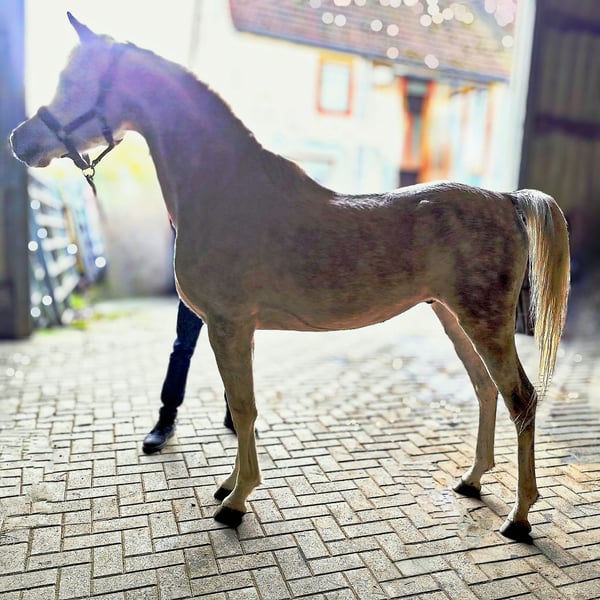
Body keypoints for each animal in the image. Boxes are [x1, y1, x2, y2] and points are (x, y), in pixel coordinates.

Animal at [10, 14, 570, 543]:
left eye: (74, 78)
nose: (20, 140)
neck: (225, 190)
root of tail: (505, 199)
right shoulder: (236, 329)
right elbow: (243, 409)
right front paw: (229, 486)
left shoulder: (228, 325)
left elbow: (243, 408)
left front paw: (236, 503)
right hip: (453, 318)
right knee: (485, 390)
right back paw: (471, 481)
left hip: (484, 323)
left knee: (521, 398)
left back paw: (519, 518)